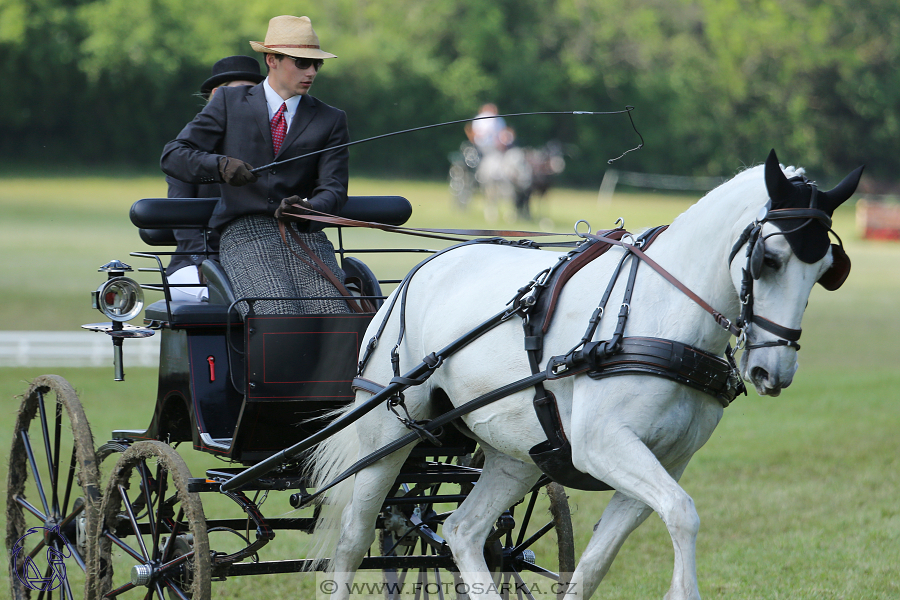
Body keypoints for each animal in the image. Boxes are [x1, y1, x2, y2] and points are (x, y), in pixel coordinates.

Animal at [312, 151, 864, 600]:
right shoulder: (602, 446)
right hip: (388, 435)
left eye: (827, 271)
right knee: (352, 543)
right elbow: (682, 513)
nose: (773, 370)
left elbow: (597, 562)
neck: (658, 315)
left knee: (464, 531)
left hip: (515, 453)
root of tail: (419, 272)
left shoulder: (669, 459)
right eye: (769, 259)